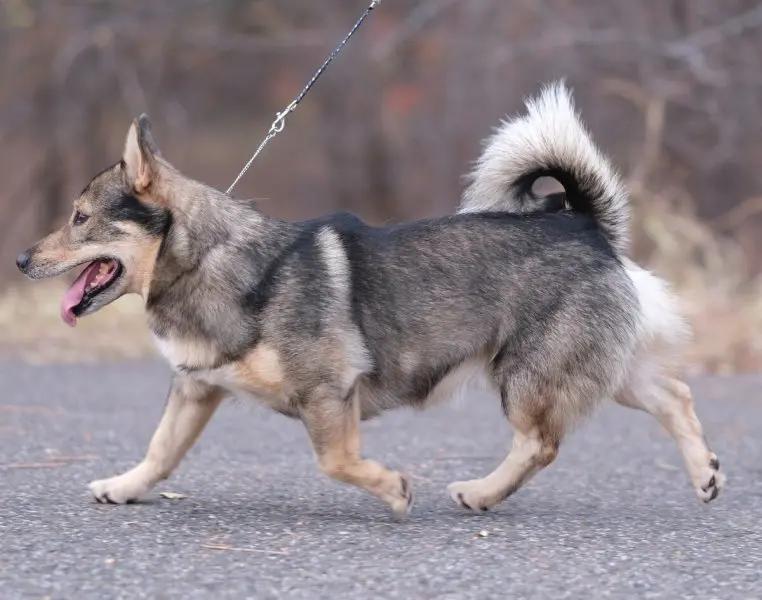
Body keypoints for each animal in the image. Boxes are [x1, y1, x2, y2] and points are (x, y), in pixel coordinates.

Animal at [14, 81, 720, 516]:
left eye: (79, 218)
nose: (20, 259)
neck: (217, 261)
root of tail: (582, 222)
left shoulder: (328, 392)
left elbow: (336, 460)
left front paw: (392, 487)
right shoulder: (196, 388)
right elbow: (160, 451)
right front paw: (123, 486)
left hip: (527, 376)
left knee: (540, 445)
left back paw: (481, 493)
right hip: (598, 367)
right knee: (674, 397)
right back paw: (705, 473)